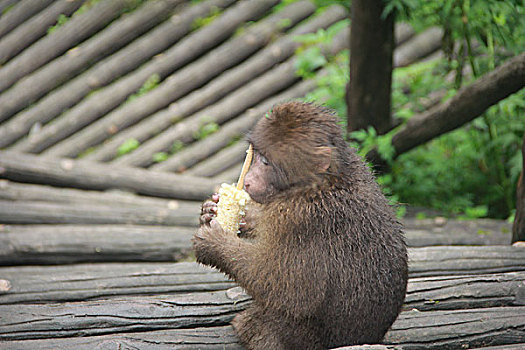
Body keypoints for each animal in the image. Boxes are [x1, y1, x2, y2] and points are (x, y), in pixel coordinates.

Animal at [192, 101, 410, 350]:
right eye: (256, 156)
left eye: (265, 162)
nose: (246, 181)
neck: (320, 182)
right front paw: (212, 211)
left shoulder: (301, 219)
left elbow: (289, 289)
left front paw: (213, 243)